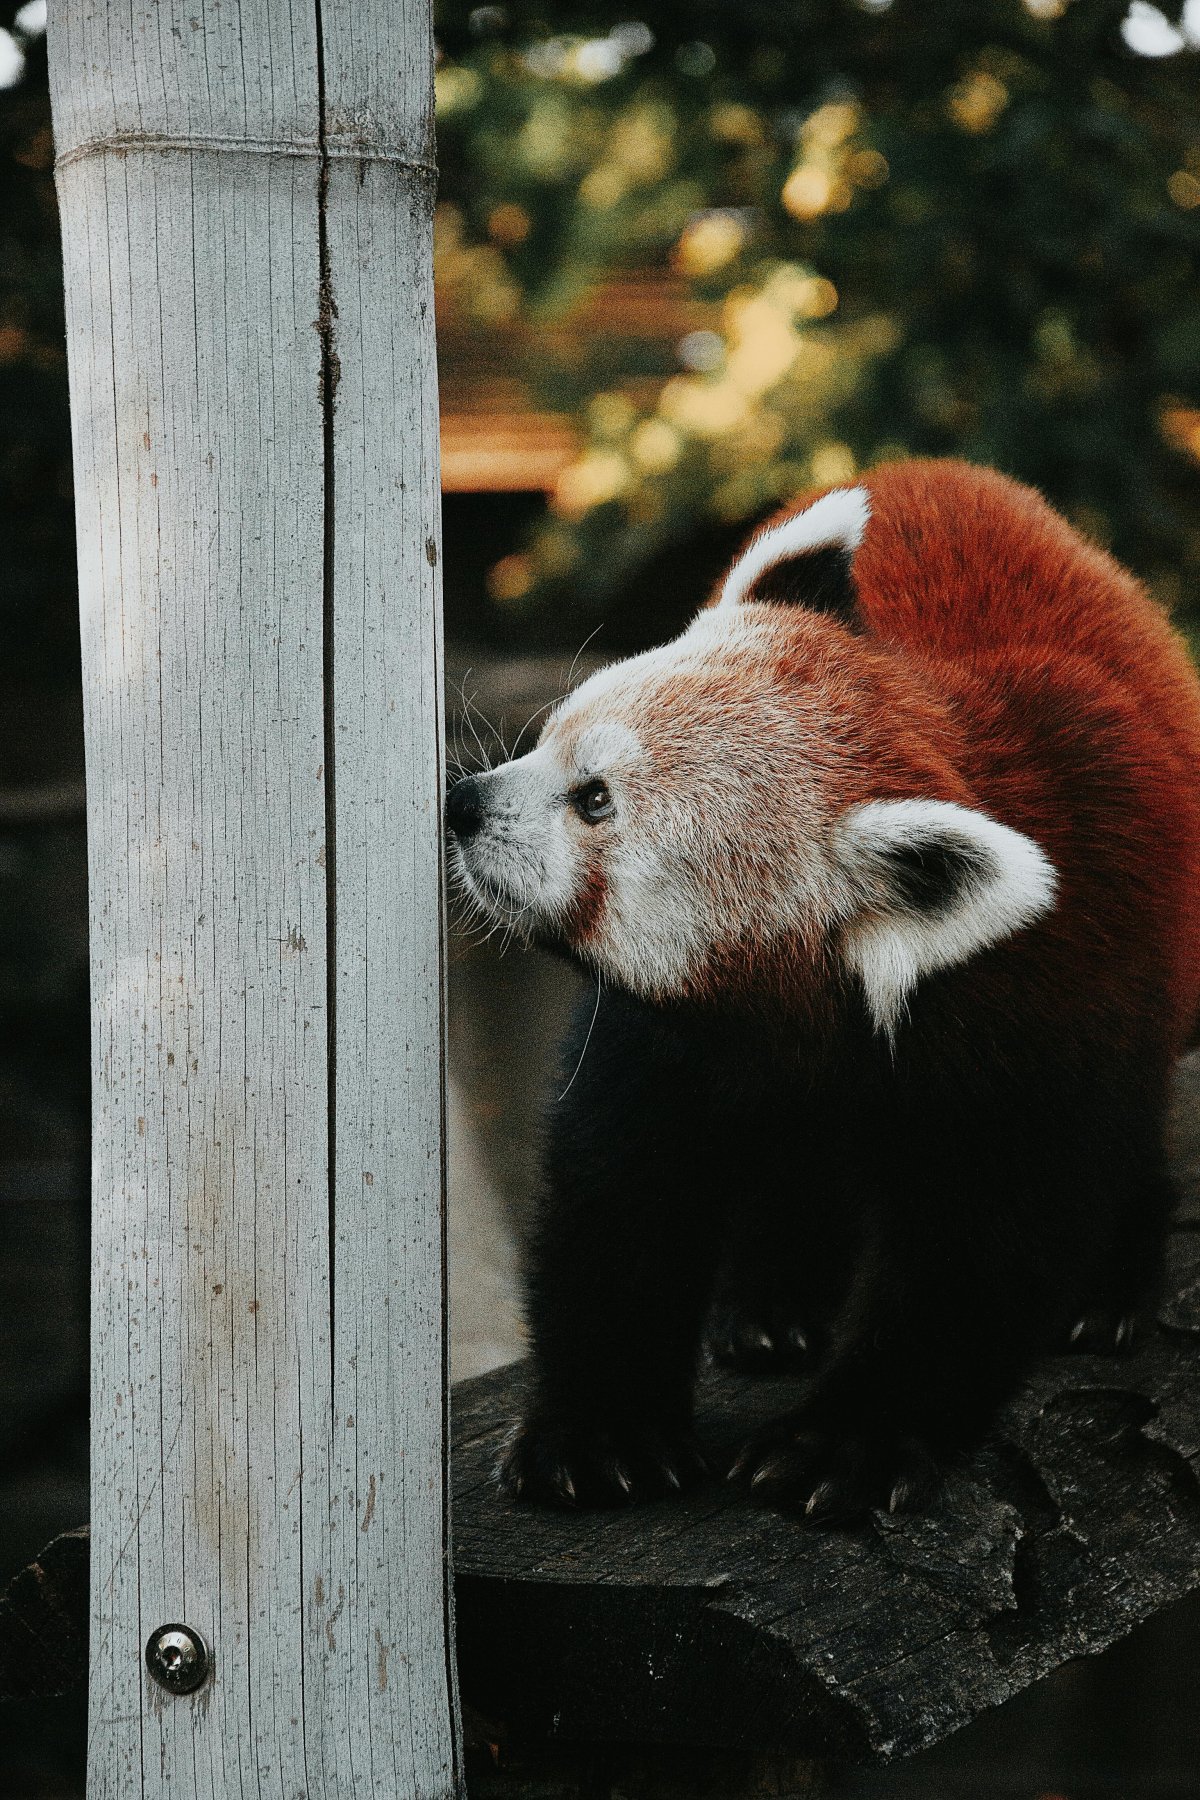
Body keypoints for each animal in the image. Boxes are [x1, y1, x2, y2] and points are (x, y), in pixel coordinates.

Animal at [445, 459, 1200, 1520]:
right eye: (547, 741)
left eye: (595, 800)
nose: (462, 805)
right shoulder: (668, 1039)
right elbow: (621, 1191)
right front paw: (601, 1432)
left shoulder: (1059, 989)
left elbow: (991, 1236)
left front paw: (851, 1439)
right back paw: (773, 1297)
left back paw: (1108, 1288)